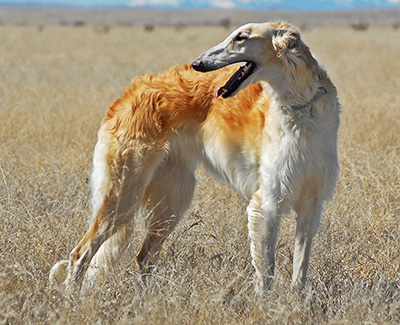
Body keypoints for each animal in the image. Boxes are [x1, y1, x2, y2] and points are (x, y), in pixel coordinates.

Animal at [48, 21, 340, 292]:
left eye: (241, 37)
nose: (197, 63)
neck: (301, 107)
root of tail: (129, 94)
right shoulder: (266, 204)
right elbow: (265, 275)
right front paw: (265, 307)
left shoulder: (311, 206)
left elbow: (299, 273)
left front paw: (296, 304)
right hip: (123, 193)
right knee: (79, 254)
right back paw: (72, 300)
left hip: (172, 199)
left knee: (143, 257)